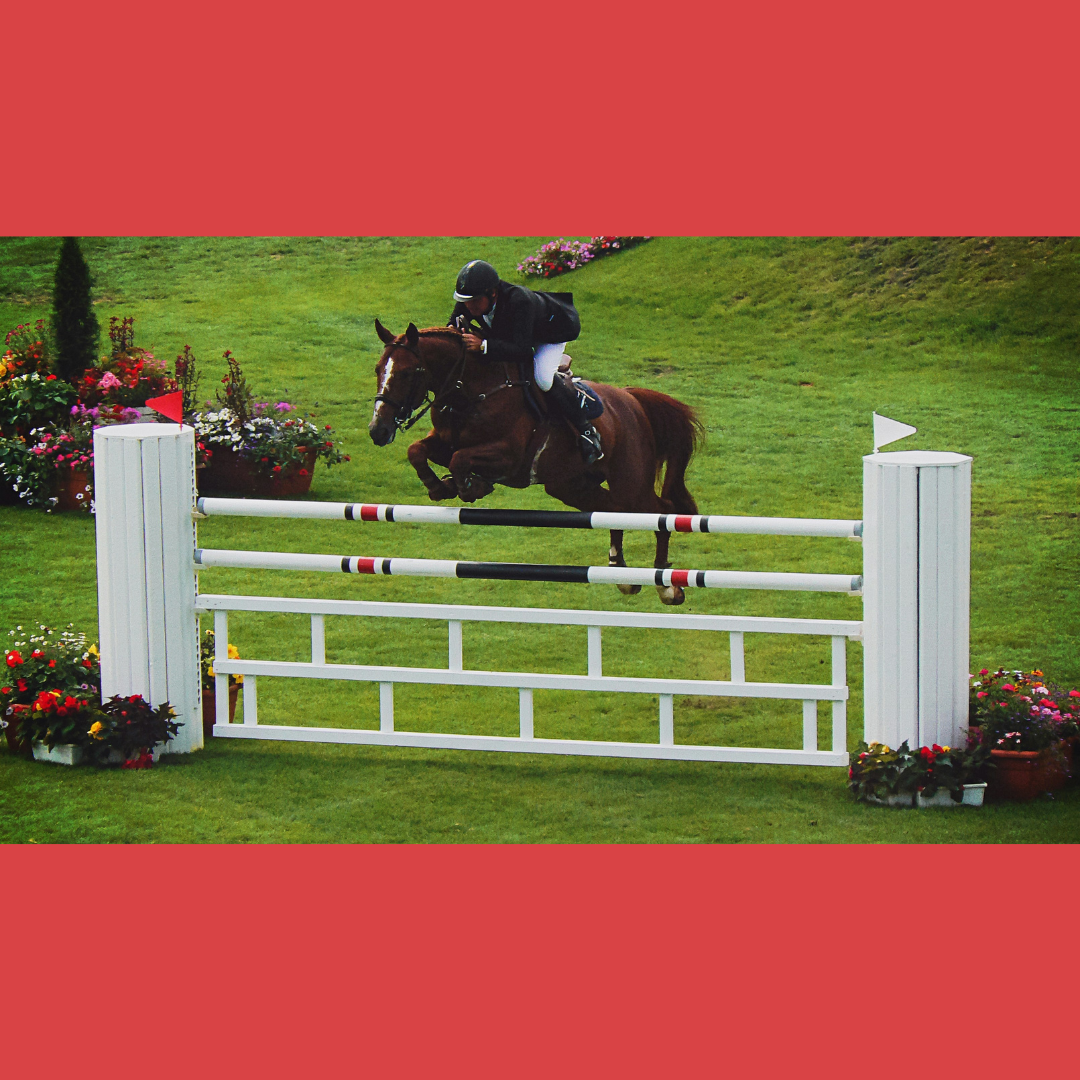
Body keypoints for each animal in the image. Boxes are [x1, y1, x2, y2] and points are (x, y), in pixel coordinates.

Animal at [368, 320, 704, 605]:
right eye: (378, 369)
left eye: (408, 373)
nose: (377, 431)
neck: (472, 388)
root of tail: (631, 399)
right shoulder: (443, 440)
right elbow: (417, 451)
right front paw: (441, 487)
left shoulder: (509, 455)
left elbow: (458, 459)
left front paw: (469, 486)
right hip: (571, 486)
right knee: (613, 512)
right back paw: (620, 572)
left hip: (630, 482)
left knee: (659, 512)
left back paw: (666, 585)